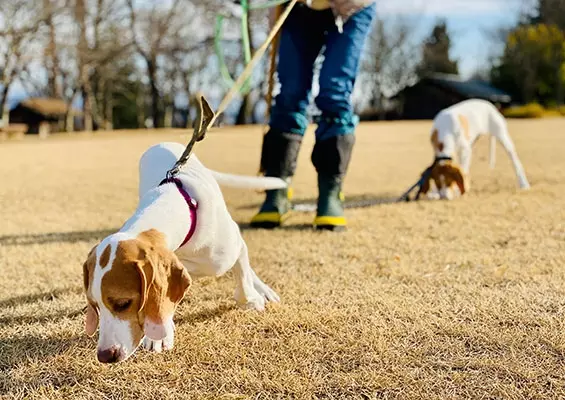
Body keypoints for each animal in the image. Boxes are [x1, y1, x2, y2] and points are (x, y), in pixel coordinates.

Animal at [82, 104, 285, 363]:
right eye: (94, 304)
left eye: (123, 303)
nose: (105, 356)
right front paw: (159, 336)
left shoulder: (228, 249)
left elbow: (242, 275)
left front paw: (251, 298)